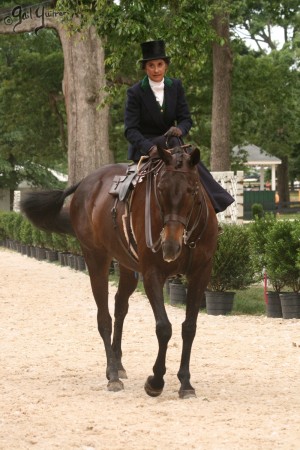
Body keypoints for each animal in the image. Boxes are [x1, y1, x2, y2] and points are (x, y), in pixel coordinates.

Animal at [21, 146, 218, 400]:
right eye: (160, 189)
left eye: (192, 190)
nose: (170, 245)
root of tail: (87, 182)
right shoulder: (152, 274)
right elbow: (164, 327)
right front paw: (155, 381)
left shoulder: (201, 274)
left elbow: (189, 328)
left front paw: (185, 382)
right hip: (96, 259)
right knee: (104, 317)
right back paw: (113, 374)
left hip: (126, 266)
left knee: (120, 306)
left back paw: (117, 364)